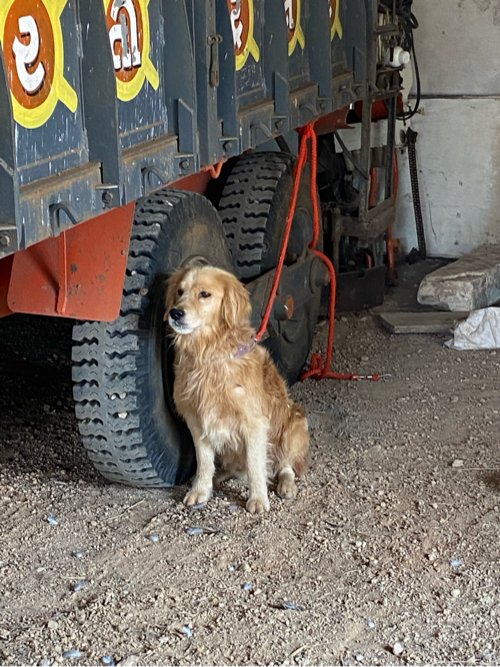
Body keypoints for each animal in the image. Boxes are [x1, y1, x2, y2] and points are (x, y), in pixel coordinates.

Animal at [165, 264, 308, 516]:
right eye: (180, 291)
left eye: (204, 294)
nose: (175, 313)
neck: (208, 356)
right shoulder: (196, 420)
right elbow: (204, 462)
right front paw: (200, 489)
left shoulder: (254, 423)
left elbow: (254, 465)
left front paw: (258, 498)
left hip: (294, 424)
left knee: (285, 465)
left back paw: (287, 485)